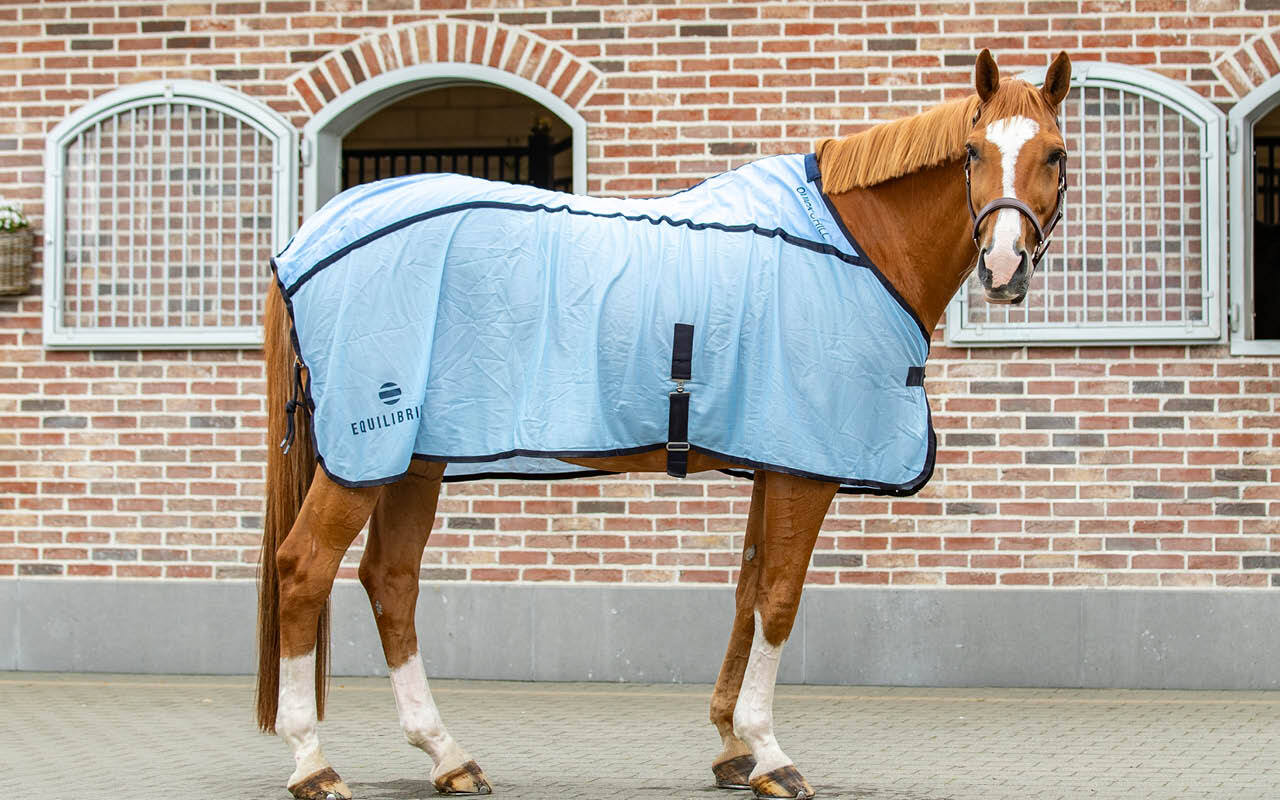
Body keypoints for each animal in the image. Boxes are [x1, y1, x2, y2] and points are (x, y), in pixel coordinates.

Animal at [254, 49, 1072, 800]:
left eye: (1055, 155)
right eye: (974, 152)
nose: (1004, 268)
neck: (854, 245)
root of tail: (309, 238)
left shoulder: (771, 460)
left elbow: (748, 592)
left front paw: (731, 748)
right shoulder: (803, 469)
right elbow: (780, 598)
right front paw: (771, 754)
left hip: (414, 459)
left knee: (390, 580)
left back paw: (447, 755)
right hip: (366, 454)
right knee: (304, 570)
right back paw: (314, 764)